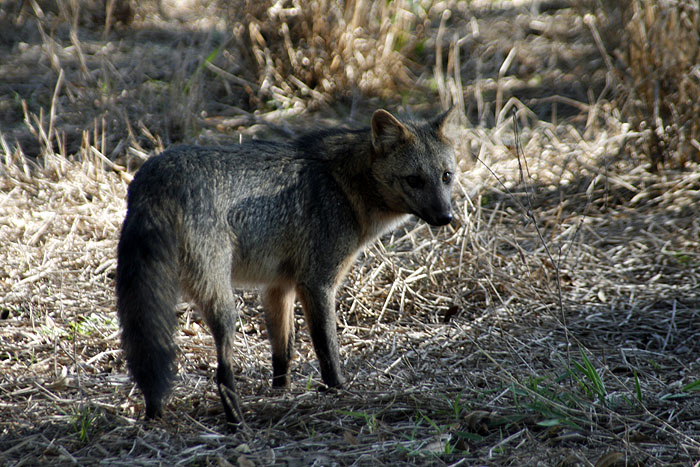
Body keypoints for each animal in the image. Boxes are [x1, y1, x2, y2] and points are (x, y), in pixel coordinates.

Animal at [116, 108, 457, 425]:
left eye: (446, 176)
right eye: (414, 180)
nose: (446, 217)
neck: (341, 184)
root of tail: (156, 176)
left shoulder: (278, 288)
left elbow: (284, 351)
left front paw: (281, 391)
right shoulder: (318, 283)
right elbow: (327, 348)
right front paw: (338, 390)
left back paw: (156, 413)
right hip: (224, 307)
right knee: (222, 373)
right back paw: (236, 421)